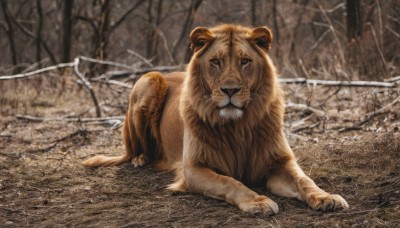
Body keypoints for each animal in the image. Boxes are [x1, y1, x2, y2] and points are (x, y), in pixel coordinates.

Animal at [83, 24, 348, 215]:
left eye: (245, 61)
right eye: (216, 62)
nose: (230, 90)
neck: (238, 125)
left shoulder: (279, 162)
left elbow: (305, 180)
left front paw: (326, 197)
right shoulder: (193, 169)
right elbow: (230, 182)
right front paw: (258, 202)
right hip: (149, 80)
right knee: (131, 152)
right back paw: (141, 159)